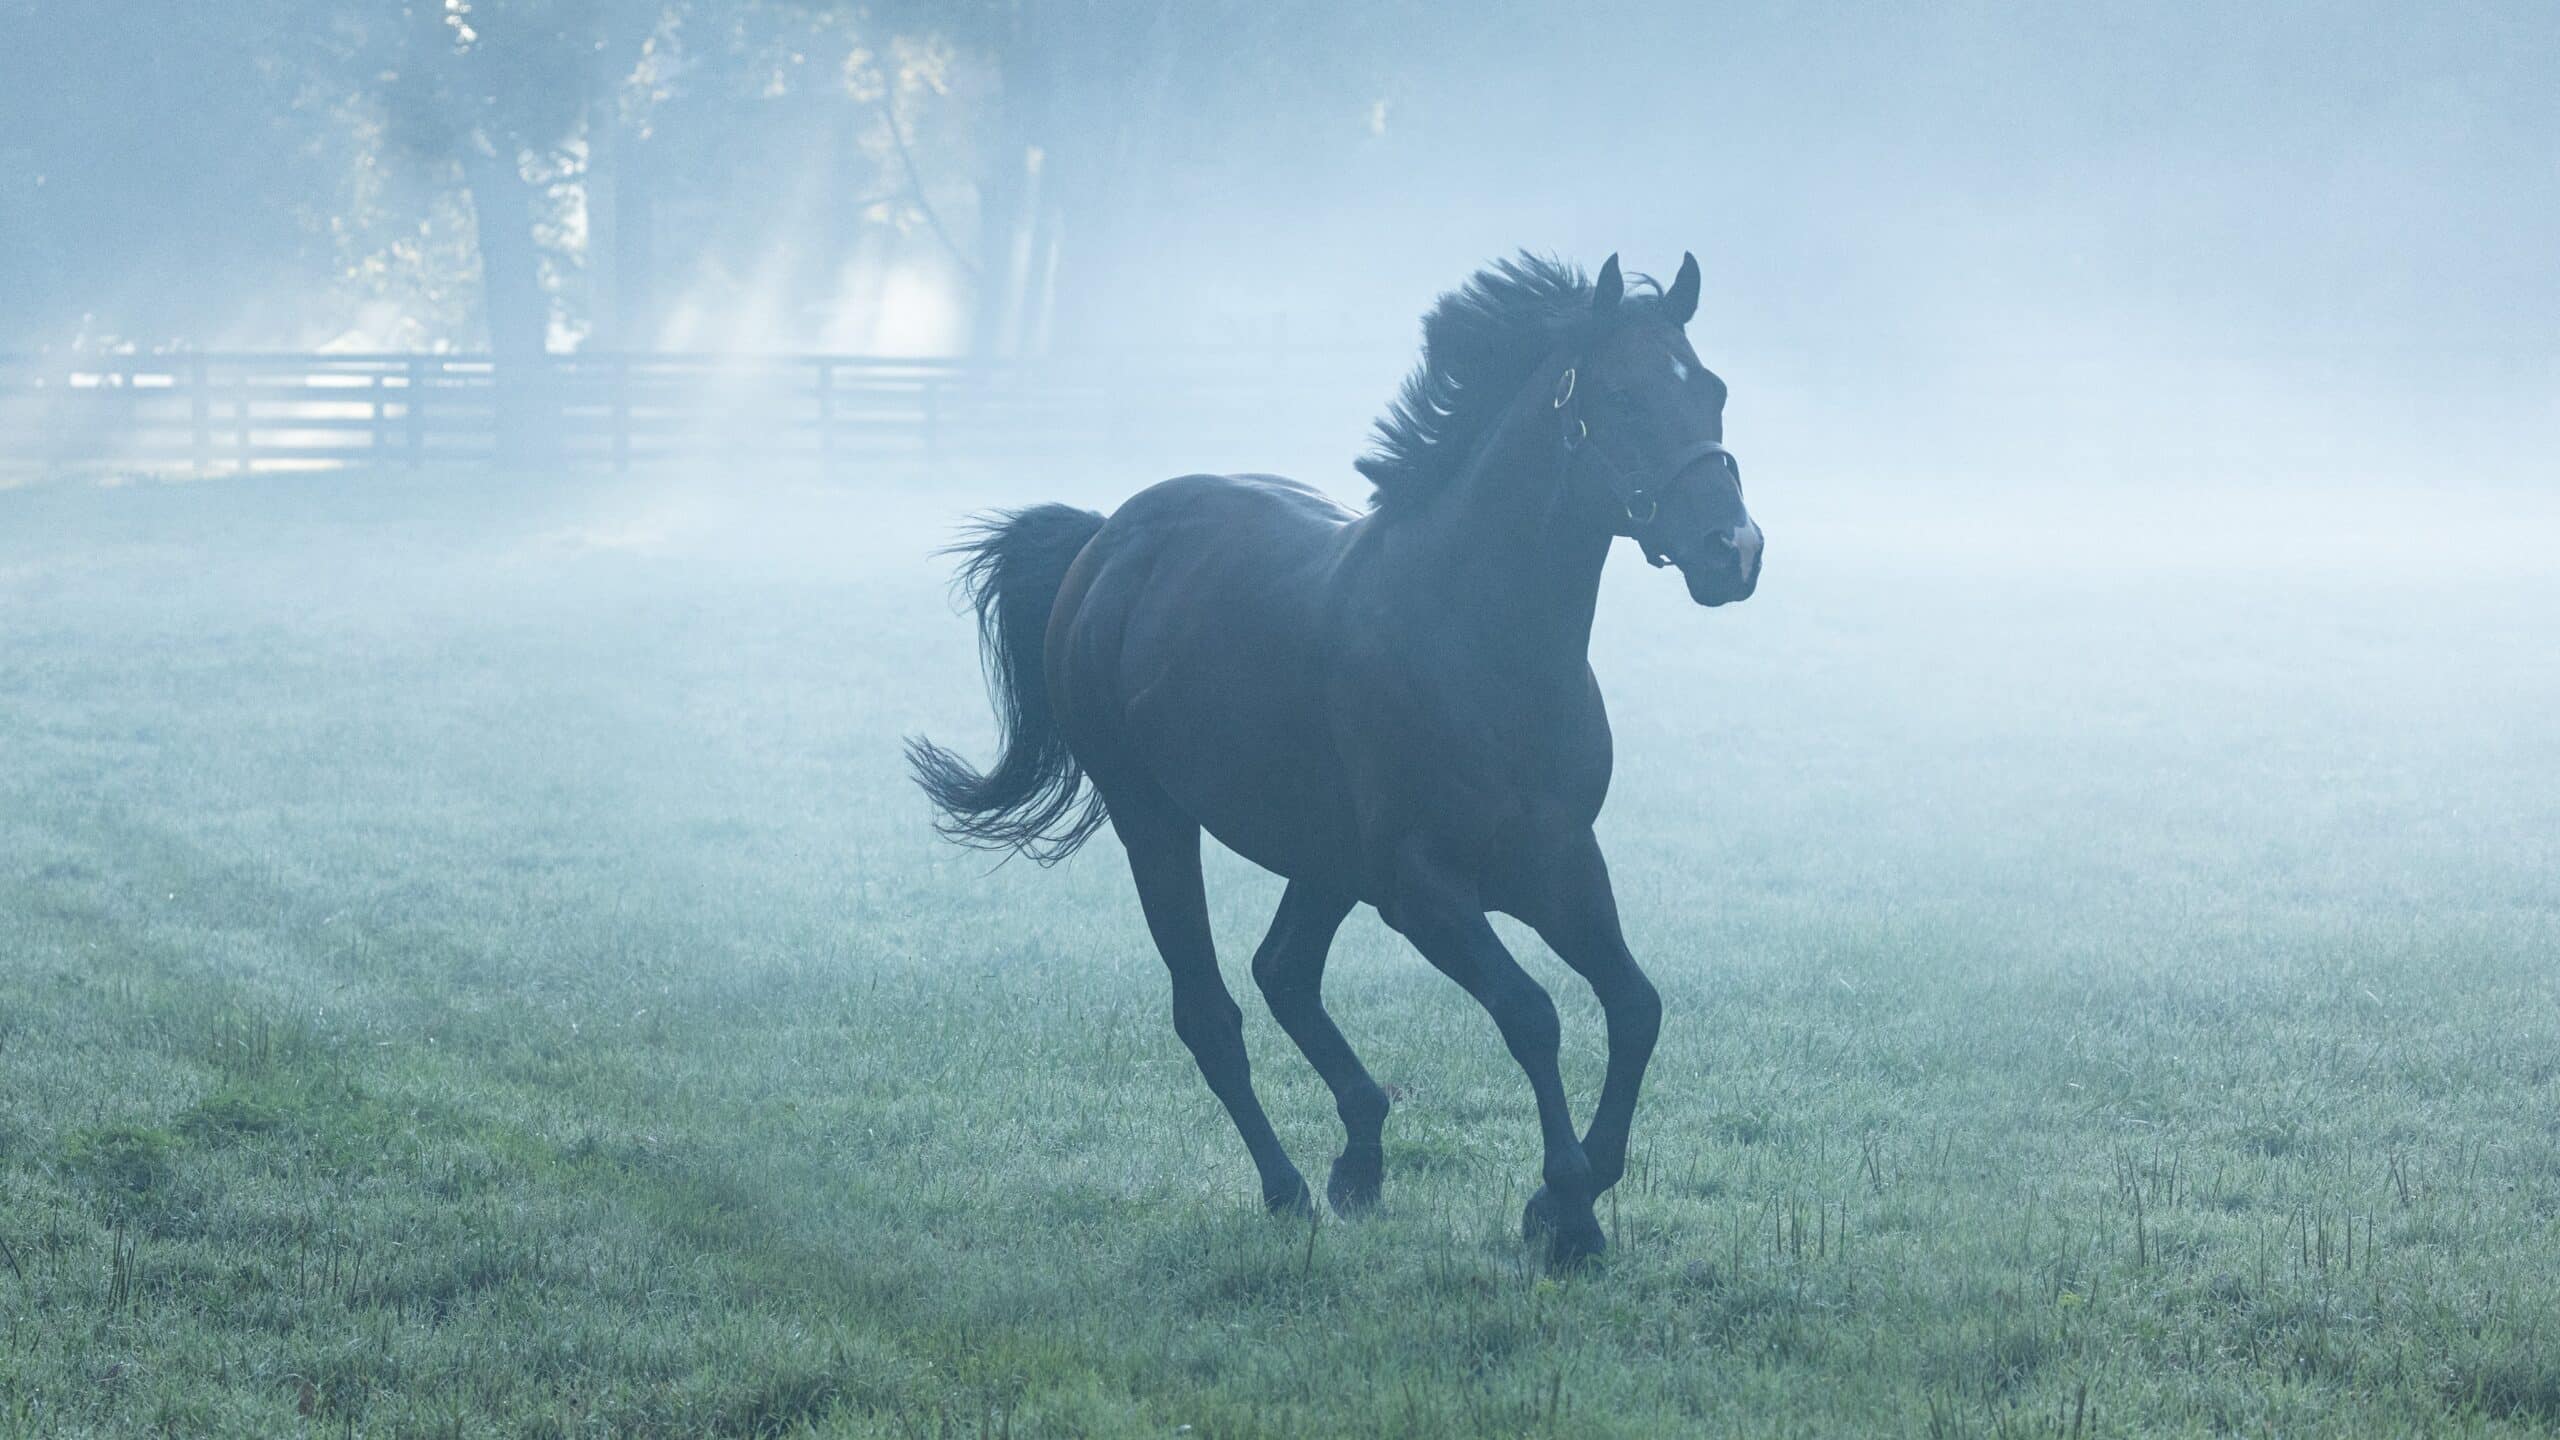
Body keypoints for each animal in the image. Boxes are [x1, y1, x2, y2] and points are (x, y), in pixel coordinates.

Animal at [907, 252, 1762, 1265]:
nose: (1735, 551)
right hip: (1153, 817)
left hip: (1323, 855)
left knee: (1283, 971)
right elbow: (1532, 1014)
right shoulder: (1422, 888)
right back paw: (1287, 1189)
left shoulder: (1559, 863)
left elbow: (1636, 1007)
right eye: (1625, 397)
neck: (1482, 642)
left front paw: (1565, 1202)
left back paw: (1358, 1158)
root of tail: (1104, 539)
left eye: (1711, 391)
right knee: (1210, 1011)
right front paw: (1568, 1212)